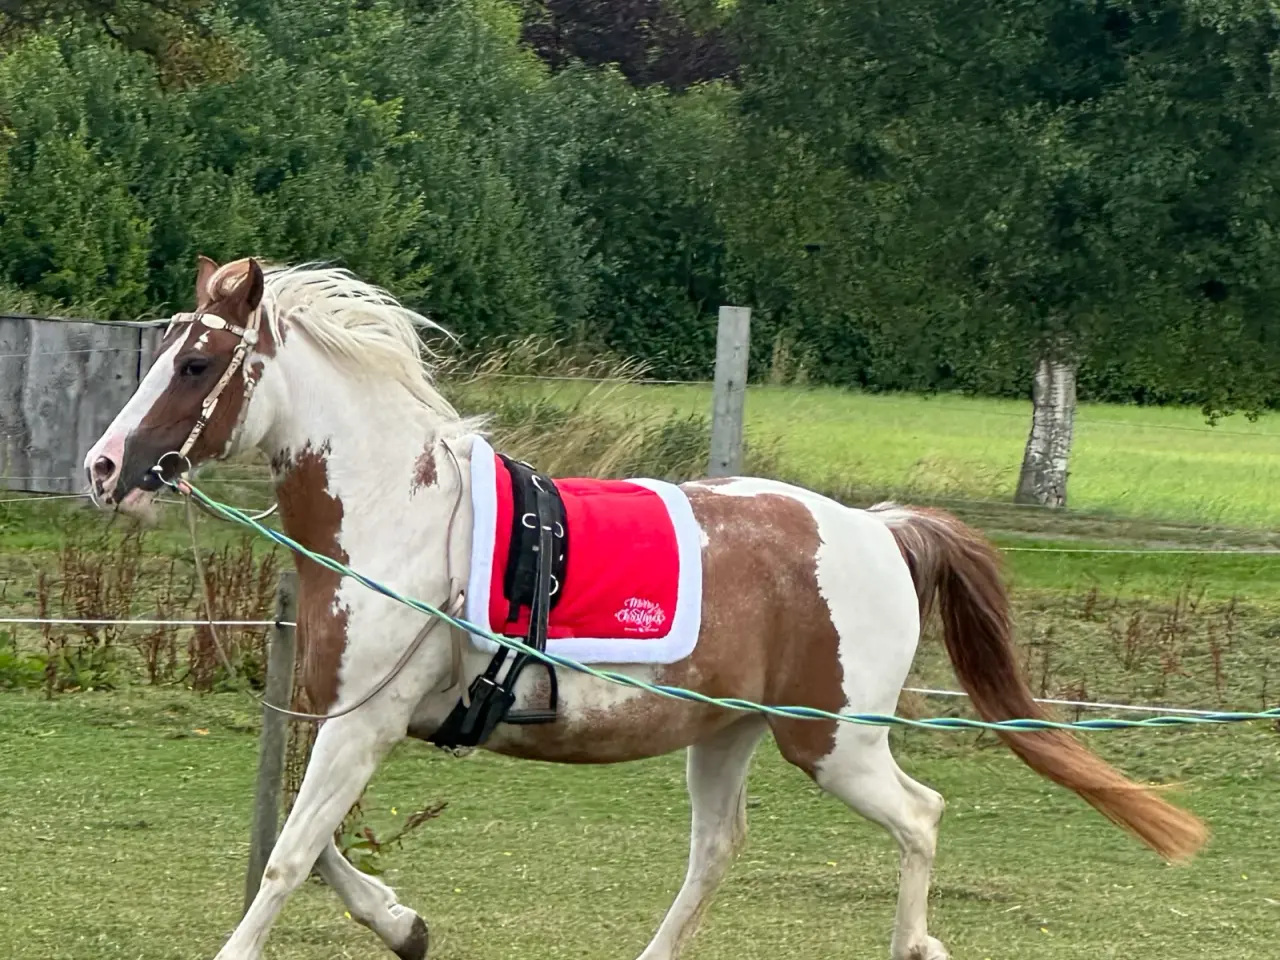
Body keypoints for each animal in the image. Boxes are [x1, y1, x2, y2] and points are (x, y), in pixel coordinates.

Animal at [83, 257, 1206, 960]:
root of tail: (878, 530)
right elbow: (317, 849)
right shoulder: (353, 724)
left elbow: (287, 857)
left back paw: (913, 944)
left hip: (832, 742)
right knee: (716, 851)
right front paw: (406, 925)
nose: (102, 468)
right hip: (731, 733)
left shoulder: (364, 725)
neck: (398, 515)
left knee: (919, 816)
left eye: (194, 363)